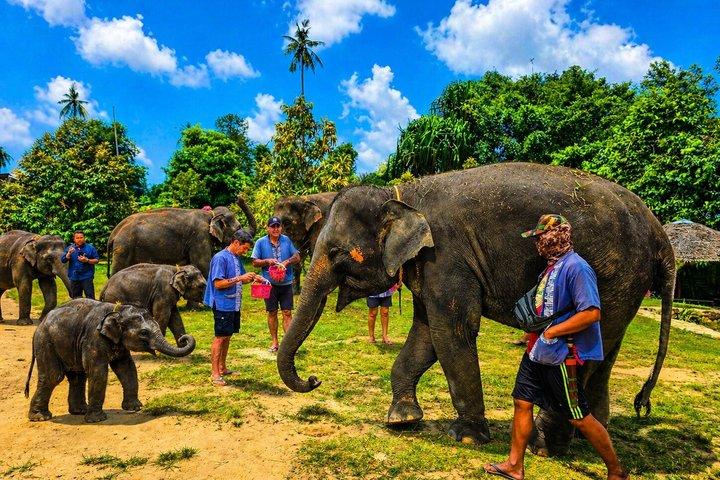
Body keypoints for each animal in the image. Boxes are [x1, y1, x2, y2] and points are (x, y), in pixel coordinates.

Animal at [25, 298, 196, 423]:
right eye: (144, 333)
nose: (183, 338)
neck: (118, 310)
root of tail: (38, 327)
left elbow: (126, 367)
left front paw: (134, 408)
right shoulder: (94, 338)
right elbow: (98, 372)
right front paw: (97, 420)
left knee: (77, 376)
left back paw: (79, 411)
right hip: (46, 343)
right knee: (53, 376)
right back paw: (41, 417)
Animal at [107, 195, 257, 278]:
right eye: (238, 228)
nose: (238, 198)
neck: (211, 214)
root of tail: (114, 233)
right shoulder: (199, 236)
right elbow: (202, 263)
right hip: (124, 247)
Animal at [277, 162, 675, 455]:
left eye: (336, 253)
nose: (314, 379)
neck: (400, 196)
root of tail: (661, 233)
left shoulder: (446, 257)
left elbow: (452, 331)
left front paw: (467, 437)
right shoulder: (428, 267)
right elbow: (426, 334)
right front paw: (402, 420)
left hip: (615, 272)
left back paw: (544, 446)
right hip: (622, 286)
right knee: (605, 350)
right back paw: (586, 439)